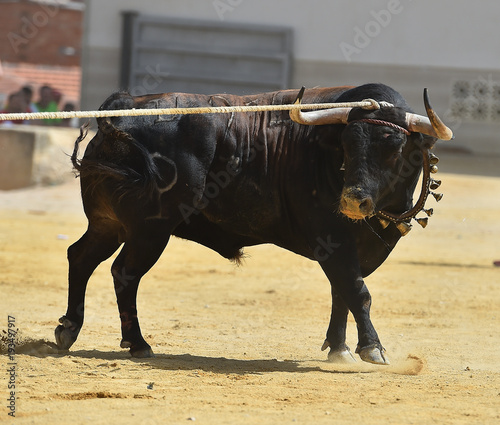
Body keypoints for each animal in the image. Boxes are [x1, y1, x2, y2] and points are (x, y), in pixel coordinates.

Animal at [54, 83, 454, 364]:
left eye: (394, 145)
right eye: (347, 144)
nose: (352, 201)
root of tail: (119, 113)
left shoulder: (351, 250)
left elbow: (341, 293)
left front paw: (339, 348)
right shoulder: (333, 240)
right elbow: (358, 292)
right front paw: (372, 349)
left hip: (108, 224)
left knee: (81, 257)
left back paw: (69, 329)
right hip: (149, 232)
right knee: (124, 273)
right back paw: (137, 343)